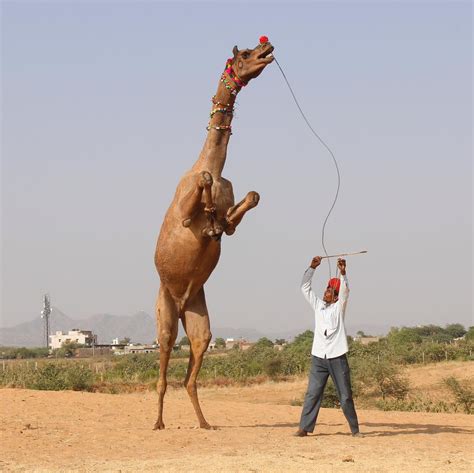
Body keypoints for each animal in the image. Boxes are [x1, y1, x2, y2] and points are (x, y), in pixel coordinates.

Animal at [155, 38, 274, 428]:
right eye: (243, 55)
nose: (268, 47)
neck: (213, 164)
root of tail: (178, 303)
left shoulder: (234, 218)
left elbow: (249, 200)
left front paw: (215, 220)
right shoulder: (181, 214)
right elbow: (202, 191)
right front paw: (207, 213)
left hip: (197, 313)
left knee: (191, 371)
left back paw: (205, 422)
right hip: (164, 308)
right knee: (163, 365)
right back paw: (158, 422)